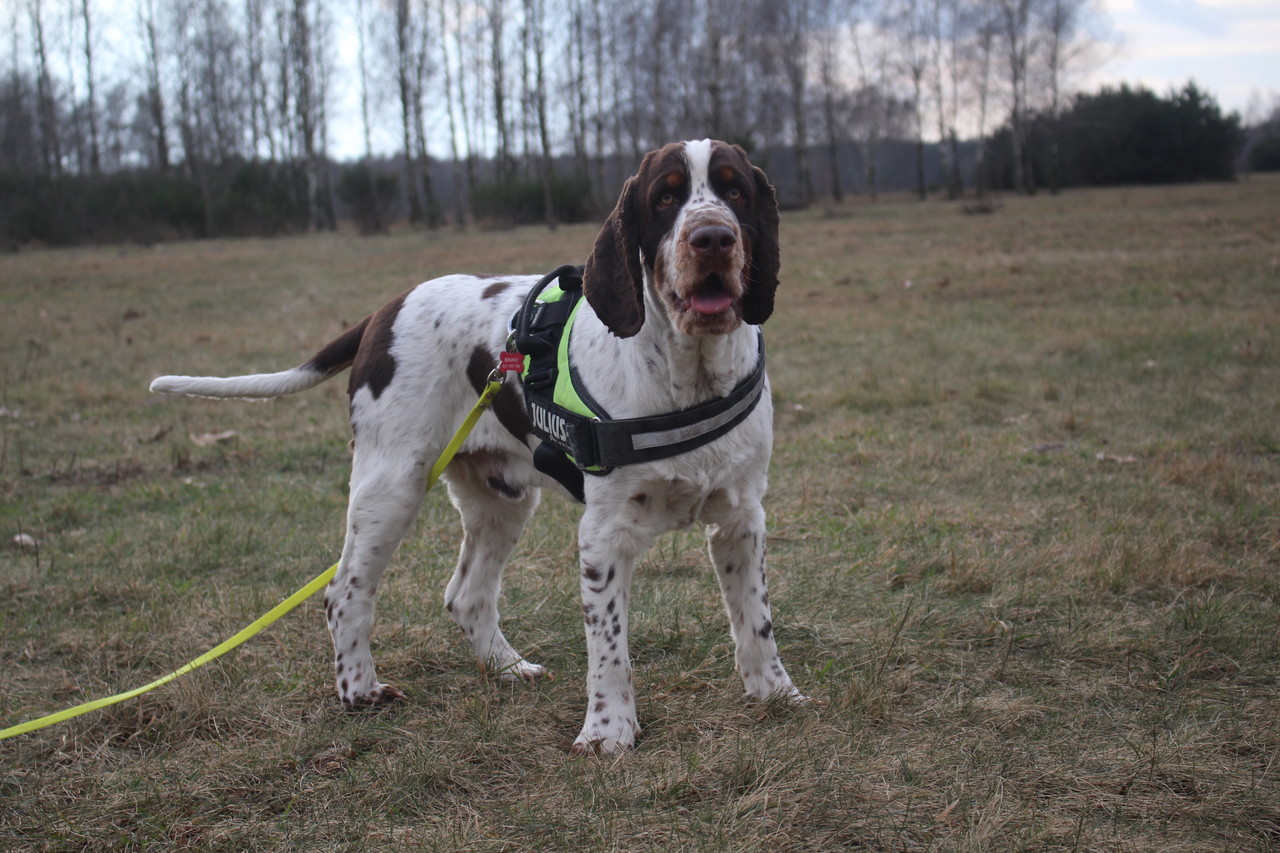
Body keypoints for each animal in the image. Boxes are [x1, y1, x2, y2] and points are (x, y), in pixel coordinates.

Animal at [150, 139, 801, 754]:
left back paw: (507, 667)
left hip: (501, 497)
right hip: (392, 485)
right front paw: (607, 732)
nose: (712, 238)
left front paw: (776, 694)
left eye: (735, 192)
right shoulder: (605, 533)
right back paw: (361, 691)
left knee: (465, 595)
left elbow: (756, 620)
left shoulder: (742, 517)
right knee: (344, 593)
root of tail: (383, 312)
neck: (689, 373)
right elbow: (610, 646)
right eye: (665, 198)